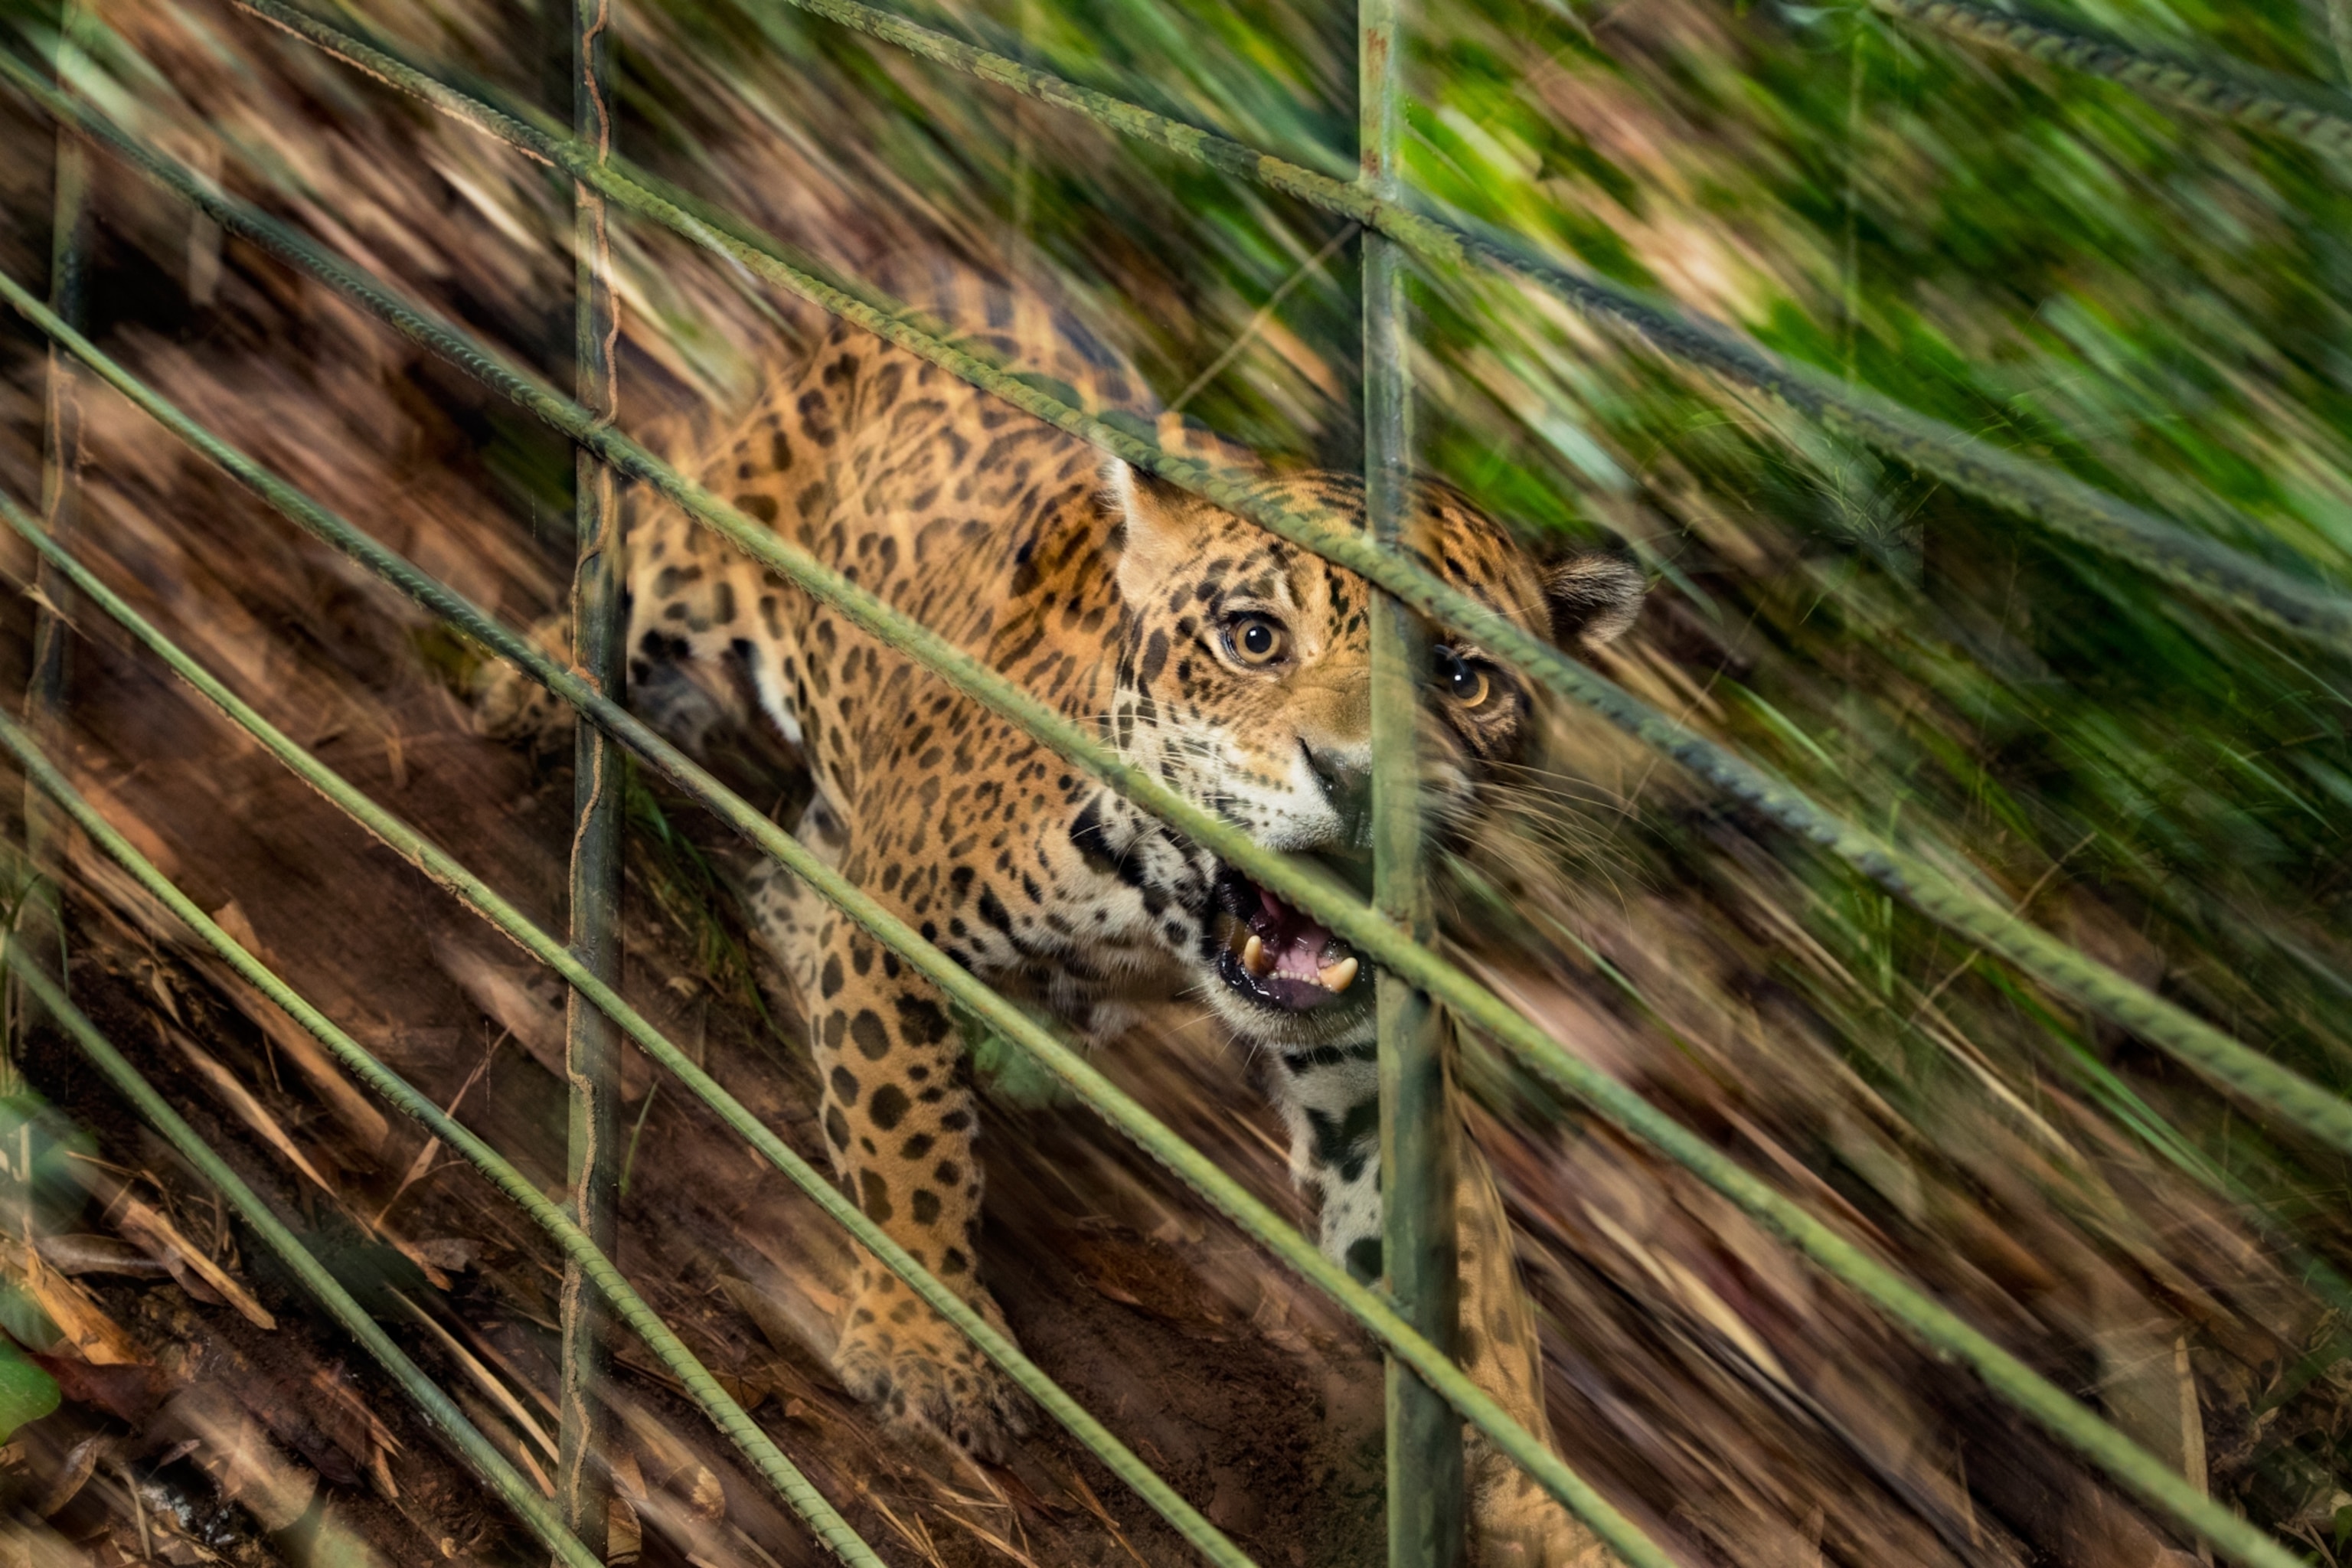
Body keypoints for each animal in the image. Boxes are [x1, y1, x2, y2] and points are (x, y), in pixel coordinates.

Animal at [485, 272, 1641, 1566]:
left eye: (1462, 679)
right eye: (1254, 637)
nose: (1358, 783)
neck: (1164, 922)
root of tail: (936, 280)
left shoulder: (1383, 1094)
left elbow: (1480, 1329)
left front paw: (1552, 1523)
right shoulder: (900, 927)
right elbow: (913, 1141)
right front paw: (930, 1343)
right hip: (707, 538)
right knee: (625, 543)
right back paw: (535, 686)